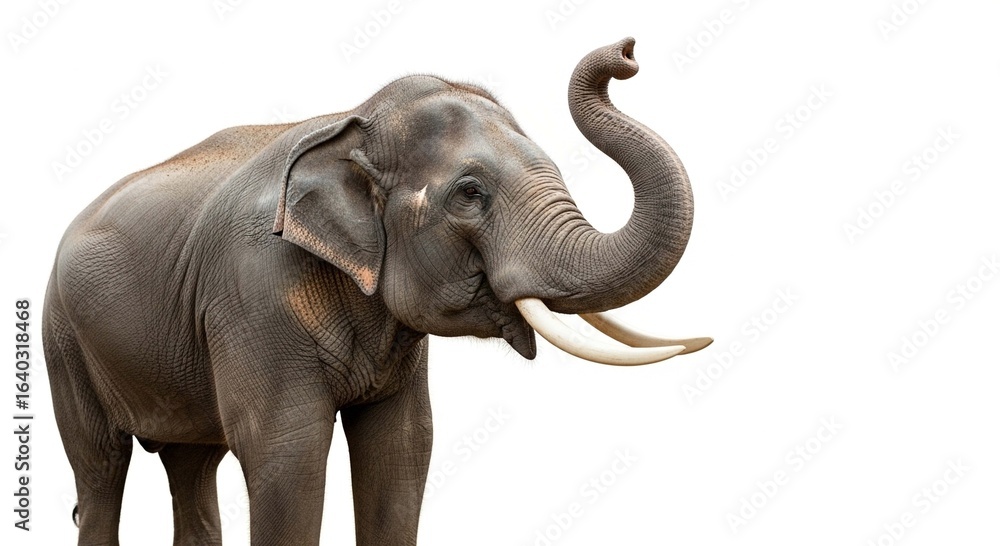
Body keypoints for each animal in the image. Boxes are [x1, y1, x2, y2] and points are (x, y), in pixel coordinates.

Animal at [42, 37, 710, 545]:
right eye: (470, 193)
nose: (627, 52)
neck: (350, 121)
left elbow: (403, 450)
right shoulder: (252, 292)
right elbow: (287, 453)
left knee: (190, 465)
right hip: (63, 341)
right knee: (101, 470)